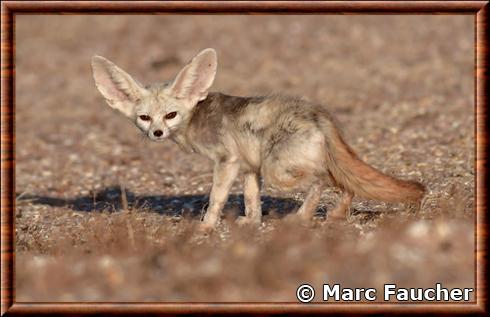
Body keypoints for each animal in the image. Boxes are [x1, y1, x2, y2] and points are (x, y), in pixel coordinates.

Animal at [92, 48, 424, 228]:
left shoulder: (227, 161)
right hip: (274, 167)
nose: (157, 133)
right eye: (144, 118)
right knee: (344, 183)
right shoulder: (249, 167)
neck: (197, 116)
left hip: (278, 171)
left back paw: (303, 216)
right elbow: (252, 200)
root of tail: (318, 113)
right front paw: (252, 223)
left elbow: (216, 198)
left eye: (171, 115)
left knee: (323, 181)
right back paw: (336, 213)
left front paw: (206, 226)